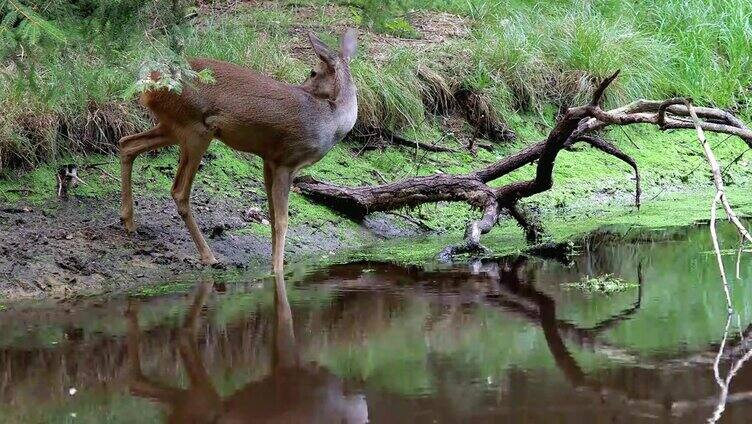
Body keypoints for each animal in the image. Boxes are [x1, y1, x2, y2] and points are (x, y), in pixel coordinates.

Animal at [119, 29, 360, 272]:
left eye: (313, 73)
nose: (302, 87)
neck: (332, 122)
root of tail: (150, 85)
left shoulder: (269, 160)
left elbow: (272, 216)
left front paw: (273, 264)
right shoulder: (287, 161)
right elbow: (282, 221)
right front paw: (278, 270)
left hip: (174, 126)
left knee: (127, 143)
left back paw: (128, 222)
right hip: (196, 129)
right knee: (179, 191)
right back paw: (208, 255)